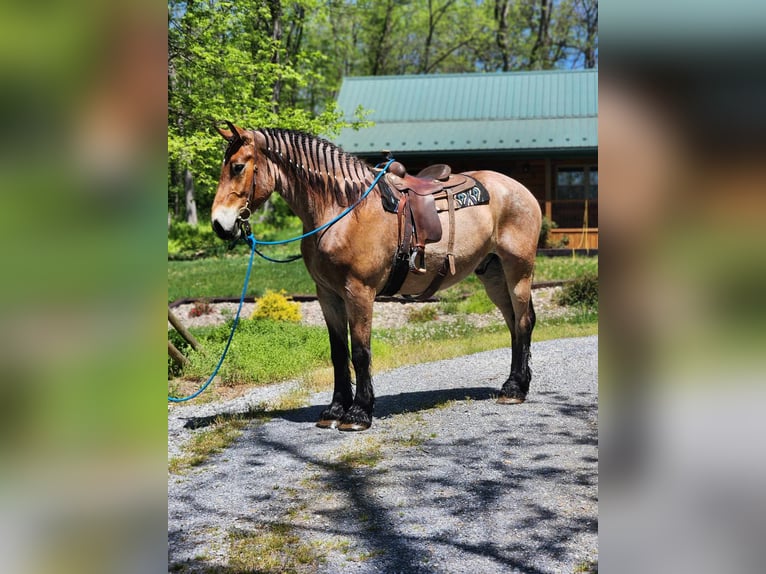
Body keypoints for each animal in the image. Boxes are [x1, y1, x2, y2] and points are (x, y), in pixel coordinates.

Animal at [210, 125, 544, 432]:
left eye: (237, 166)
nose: (218, 224)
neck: (343, 210)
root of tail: (520, 189)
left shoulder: (359, 291)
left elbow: (360, 351)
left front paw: (359, 413)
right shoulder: (327, 294)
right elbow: (338, 352)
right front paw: (335, 410)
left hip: (518, 270)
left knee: (524, 321)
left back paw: (515, 390)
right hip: (493, 274)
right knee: (514, 324)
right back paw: (514, 384)